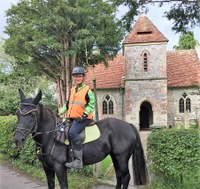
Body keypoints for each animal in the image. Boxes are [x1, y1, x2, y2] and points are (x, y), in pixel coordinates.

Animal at [13, 89, 148, 189]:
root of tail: (128, 125)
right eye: (18, 114)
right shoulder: (47, 168)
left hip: (122, 158)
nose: (17, 139)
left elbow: (64, 186)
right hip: (115, 157)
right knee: (119, 176)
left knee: (125, 177)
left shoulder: (59, 167)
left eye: (32, 114)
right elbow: (51, 185)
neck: (50, 136)